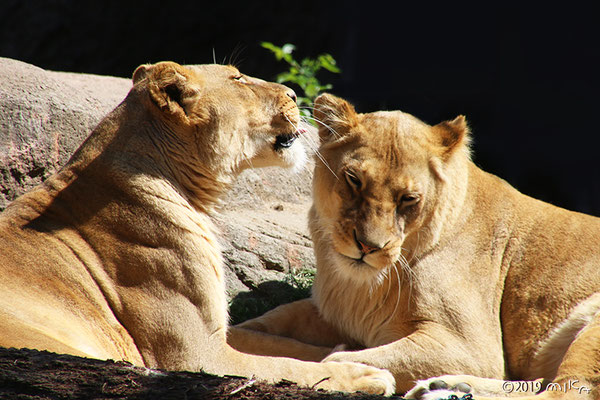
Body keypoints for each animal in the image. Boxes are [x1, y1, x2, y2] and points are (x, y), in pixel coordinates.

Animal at [0, 64, 394, 396]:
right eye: (238, 79)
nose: (295, 94)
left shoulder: (216, 332)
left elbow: (282, 346)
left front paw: (350, 350)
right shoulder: (196, 354)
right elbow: (287, 366)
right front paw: (364, 374)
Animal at [236, 92, 600, 398]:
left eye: (409, 199)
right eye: (354, 179)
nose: (367, 246)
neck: (361, 286)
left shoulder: (473, 348)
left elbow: (337, 359)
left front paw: (347, 363)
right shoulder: (333, 310)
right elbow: (250, 328)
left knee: (565, 392)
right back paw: (447, 388)